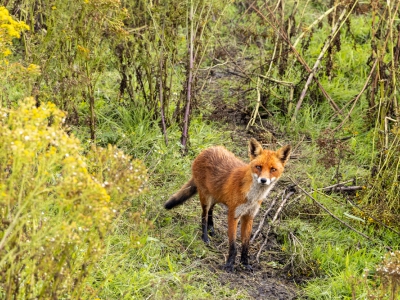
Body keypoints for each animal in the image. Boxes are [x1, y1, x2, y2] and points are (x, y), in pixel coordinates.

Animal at [164, 138, 292, 272]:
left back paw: (211, 228)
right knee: (204, 215)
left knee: (211, 210)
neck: (251, 197)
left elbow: (245, 245)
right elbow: (233, 245)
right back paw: (205, 237)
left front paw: (245, 263)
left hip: (216, 195)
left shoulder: (249, 216)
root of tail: (206, 150)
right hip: (205, 197)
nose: (263, 180)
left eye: (273, 169)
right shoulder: (233, 215)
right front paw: (229, 264)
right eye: (258, 167)